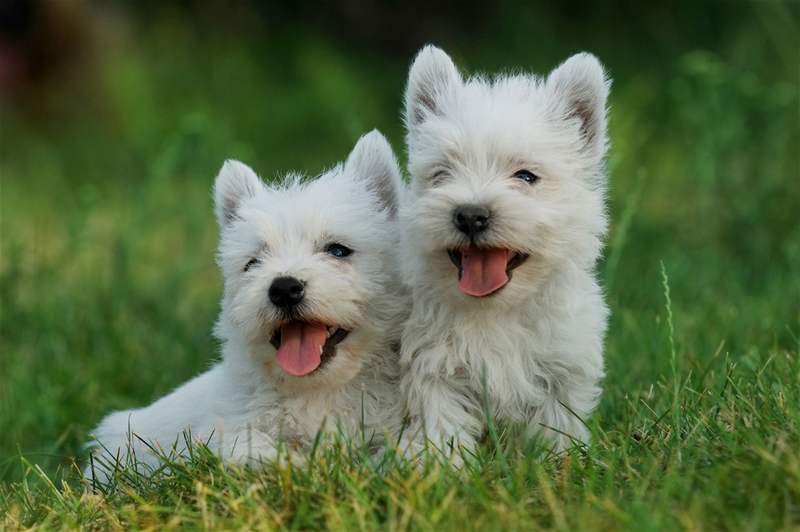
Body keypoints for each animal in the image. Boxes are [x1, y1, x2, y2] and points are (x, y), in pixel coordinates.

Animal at [87, 131, 406, 480]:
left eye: (338, 250)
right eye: (253, 263)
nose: (284, 289)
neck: (317, 391)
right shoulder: (232, 434)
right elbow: (259, 452)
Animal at [398, 47, 612, 460]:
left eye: (526, 176)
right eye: (442, 174)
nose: (470, 215)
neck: (496, 311)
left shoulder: (561, 370)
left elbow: (556, 427)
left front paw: (561, 463)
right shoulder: (434, 370)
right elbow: (441, 425)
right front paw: (441, 467)